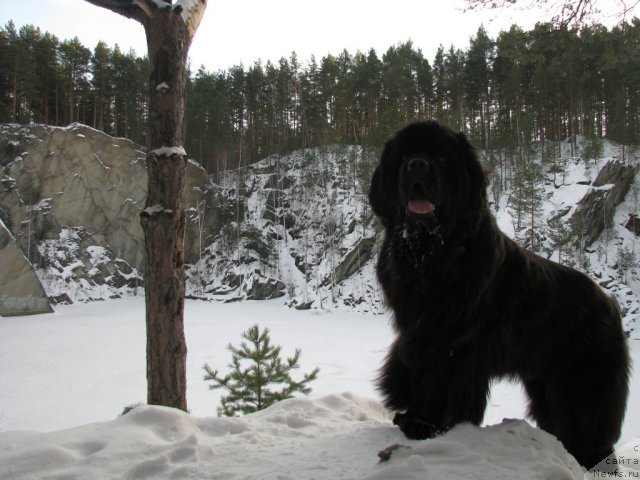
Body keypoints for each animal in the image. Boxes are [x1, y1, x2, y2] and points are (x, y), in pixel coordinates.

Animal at [370, 119, 632, 468]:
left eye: (440, 158)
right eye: (403, 157)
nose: (417, 164)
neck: (431, 255)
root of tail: (610, 303)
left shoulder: (450, 338)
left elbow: (439, 380)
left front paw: (426, 424)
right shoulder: (416, 330)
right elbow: (416, 371)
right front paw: (412, 416)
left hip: (583, 381)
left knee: (590, 423)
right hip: (544, 383)